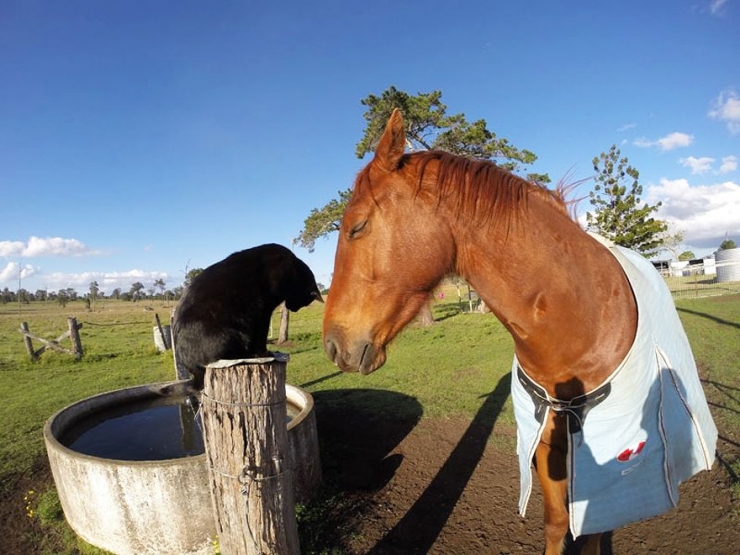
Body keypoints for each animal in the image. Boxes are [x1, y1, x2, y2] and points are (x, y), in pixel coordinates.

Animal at [322, 109, 716, 554]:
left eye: (357, 227)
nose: (332, 344)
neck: (579, 323)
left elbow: (593, 527)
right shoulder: (546, 444)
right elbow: (558, 521)